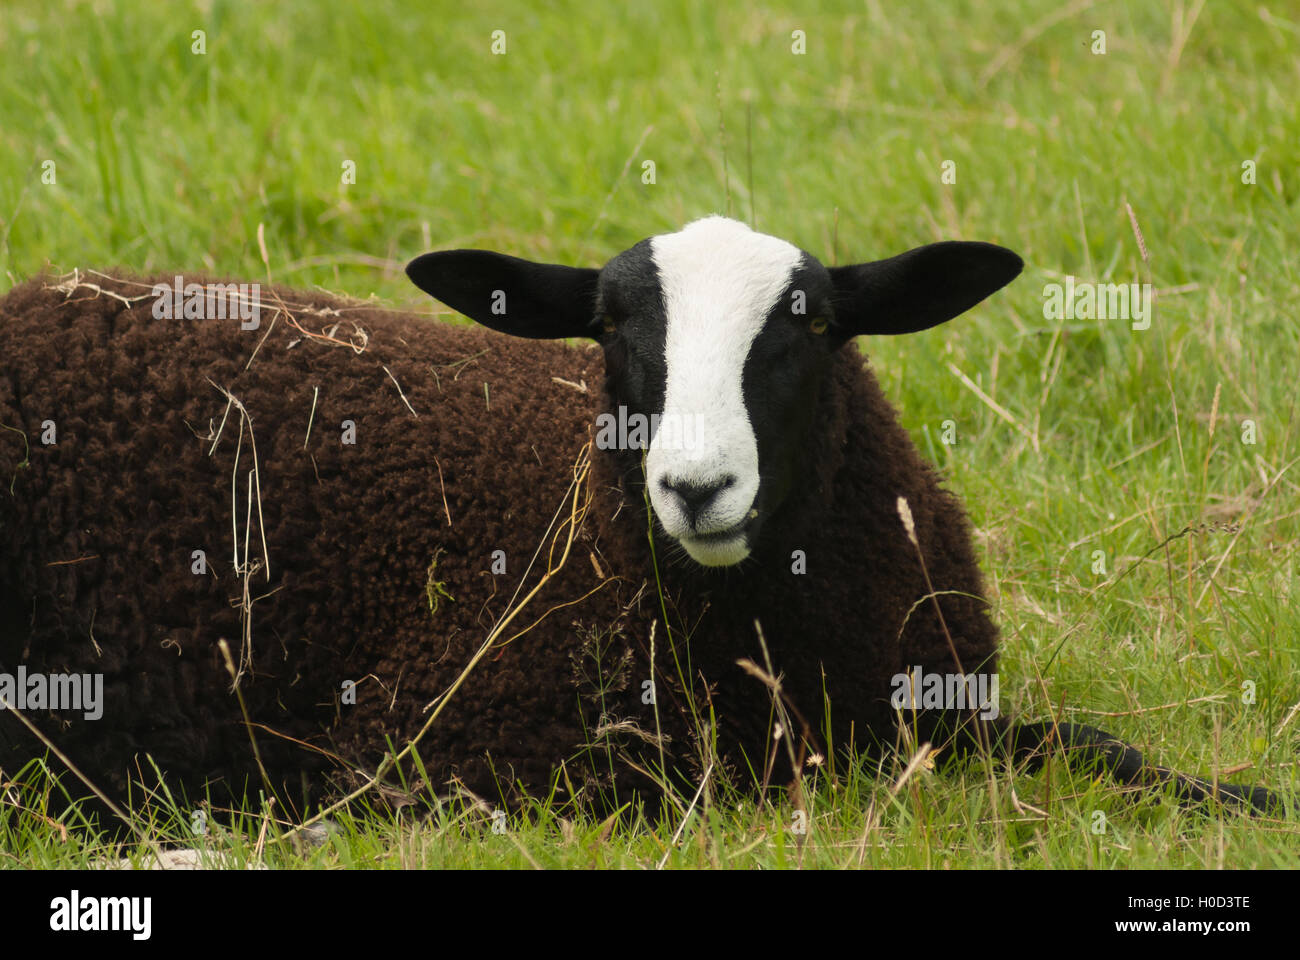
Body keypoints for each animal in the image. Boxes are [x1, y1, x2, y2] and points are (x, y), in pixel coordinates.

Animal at [0, 214, 1279, 822]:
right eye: (609, 328)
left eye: (812, 323)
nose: (695, 487)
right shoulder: (460, 750)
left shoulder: (938, 708)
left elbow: (1097, 748)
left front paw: (1244, 798)